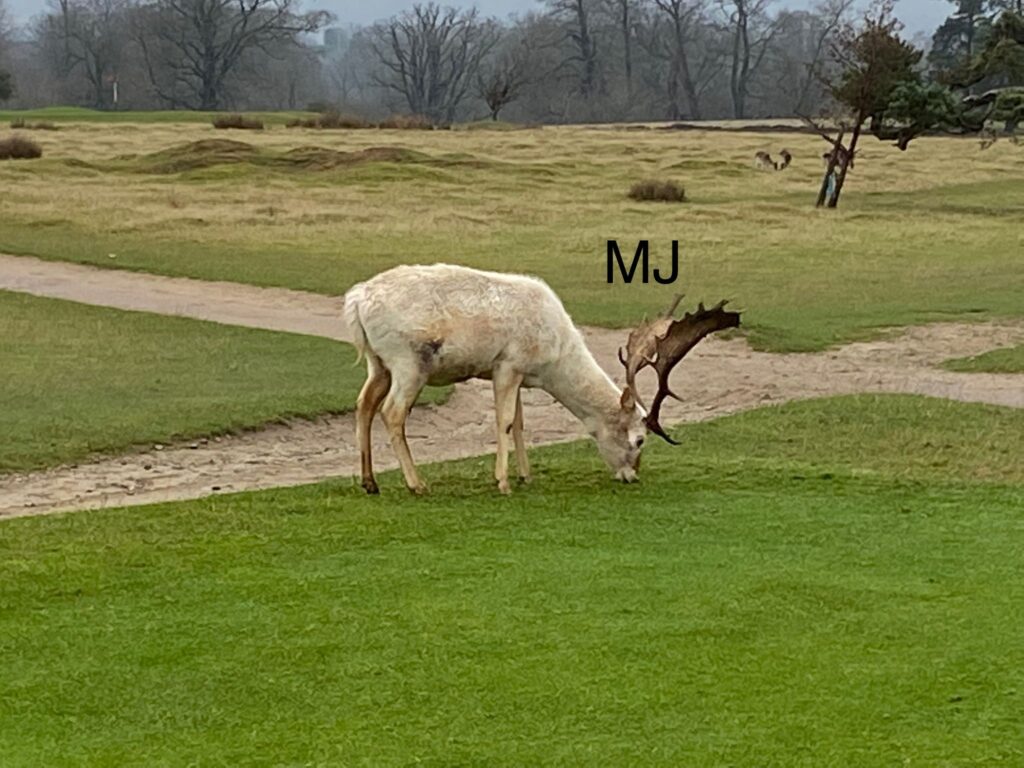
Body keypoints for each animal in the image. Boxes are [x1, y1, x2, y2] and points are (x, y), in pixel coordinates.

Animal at [343, 264, 738, 495]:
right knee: (392, 412)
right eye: (640, 439)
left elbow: (519, 423)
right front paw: (503, 482)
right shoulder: (507, 364)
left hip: (379, 363)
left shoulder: (518, 373)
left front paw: (526, 476)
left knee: (363, 404)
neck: (552, 362)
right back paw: (417, 484)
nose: (632, 476)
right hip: (408, 360)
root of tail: (355, 300)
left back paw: (370, 482)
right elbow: (503, 421)